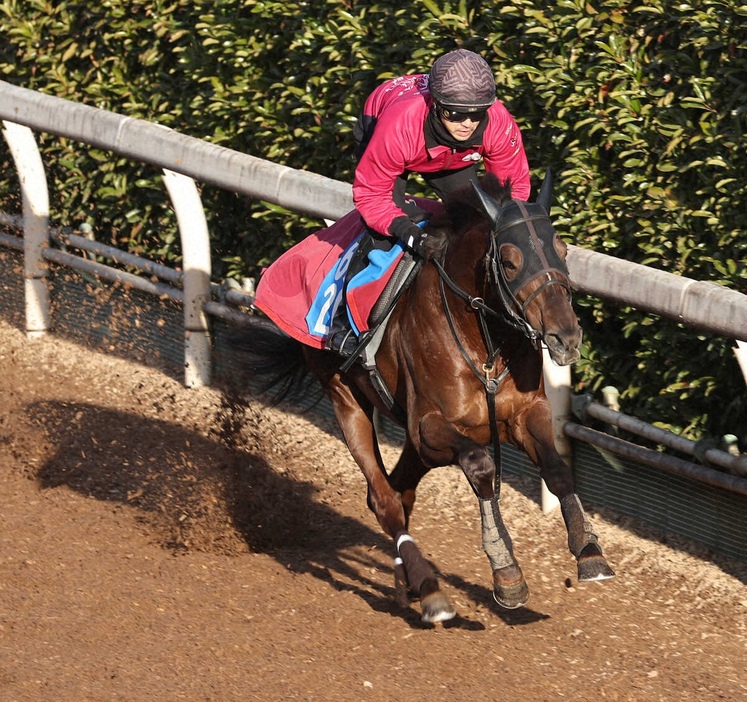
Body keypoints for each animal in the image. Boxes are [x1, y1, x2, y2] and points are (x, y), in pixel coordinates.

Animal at [232, 173, 612, 624]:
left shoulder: (524, 413)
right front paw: (506, 571)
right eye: (509, 260)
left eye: (563, 250)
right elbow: (482, 467)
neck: (482, 339)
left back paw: (407, 584)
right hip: (344, 396)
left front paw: (589, 550)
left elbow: (557, 469)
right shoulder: (430, 426)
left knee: (400, 489)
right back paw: (429, 590)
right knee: (383, 498)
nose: (565, 337)